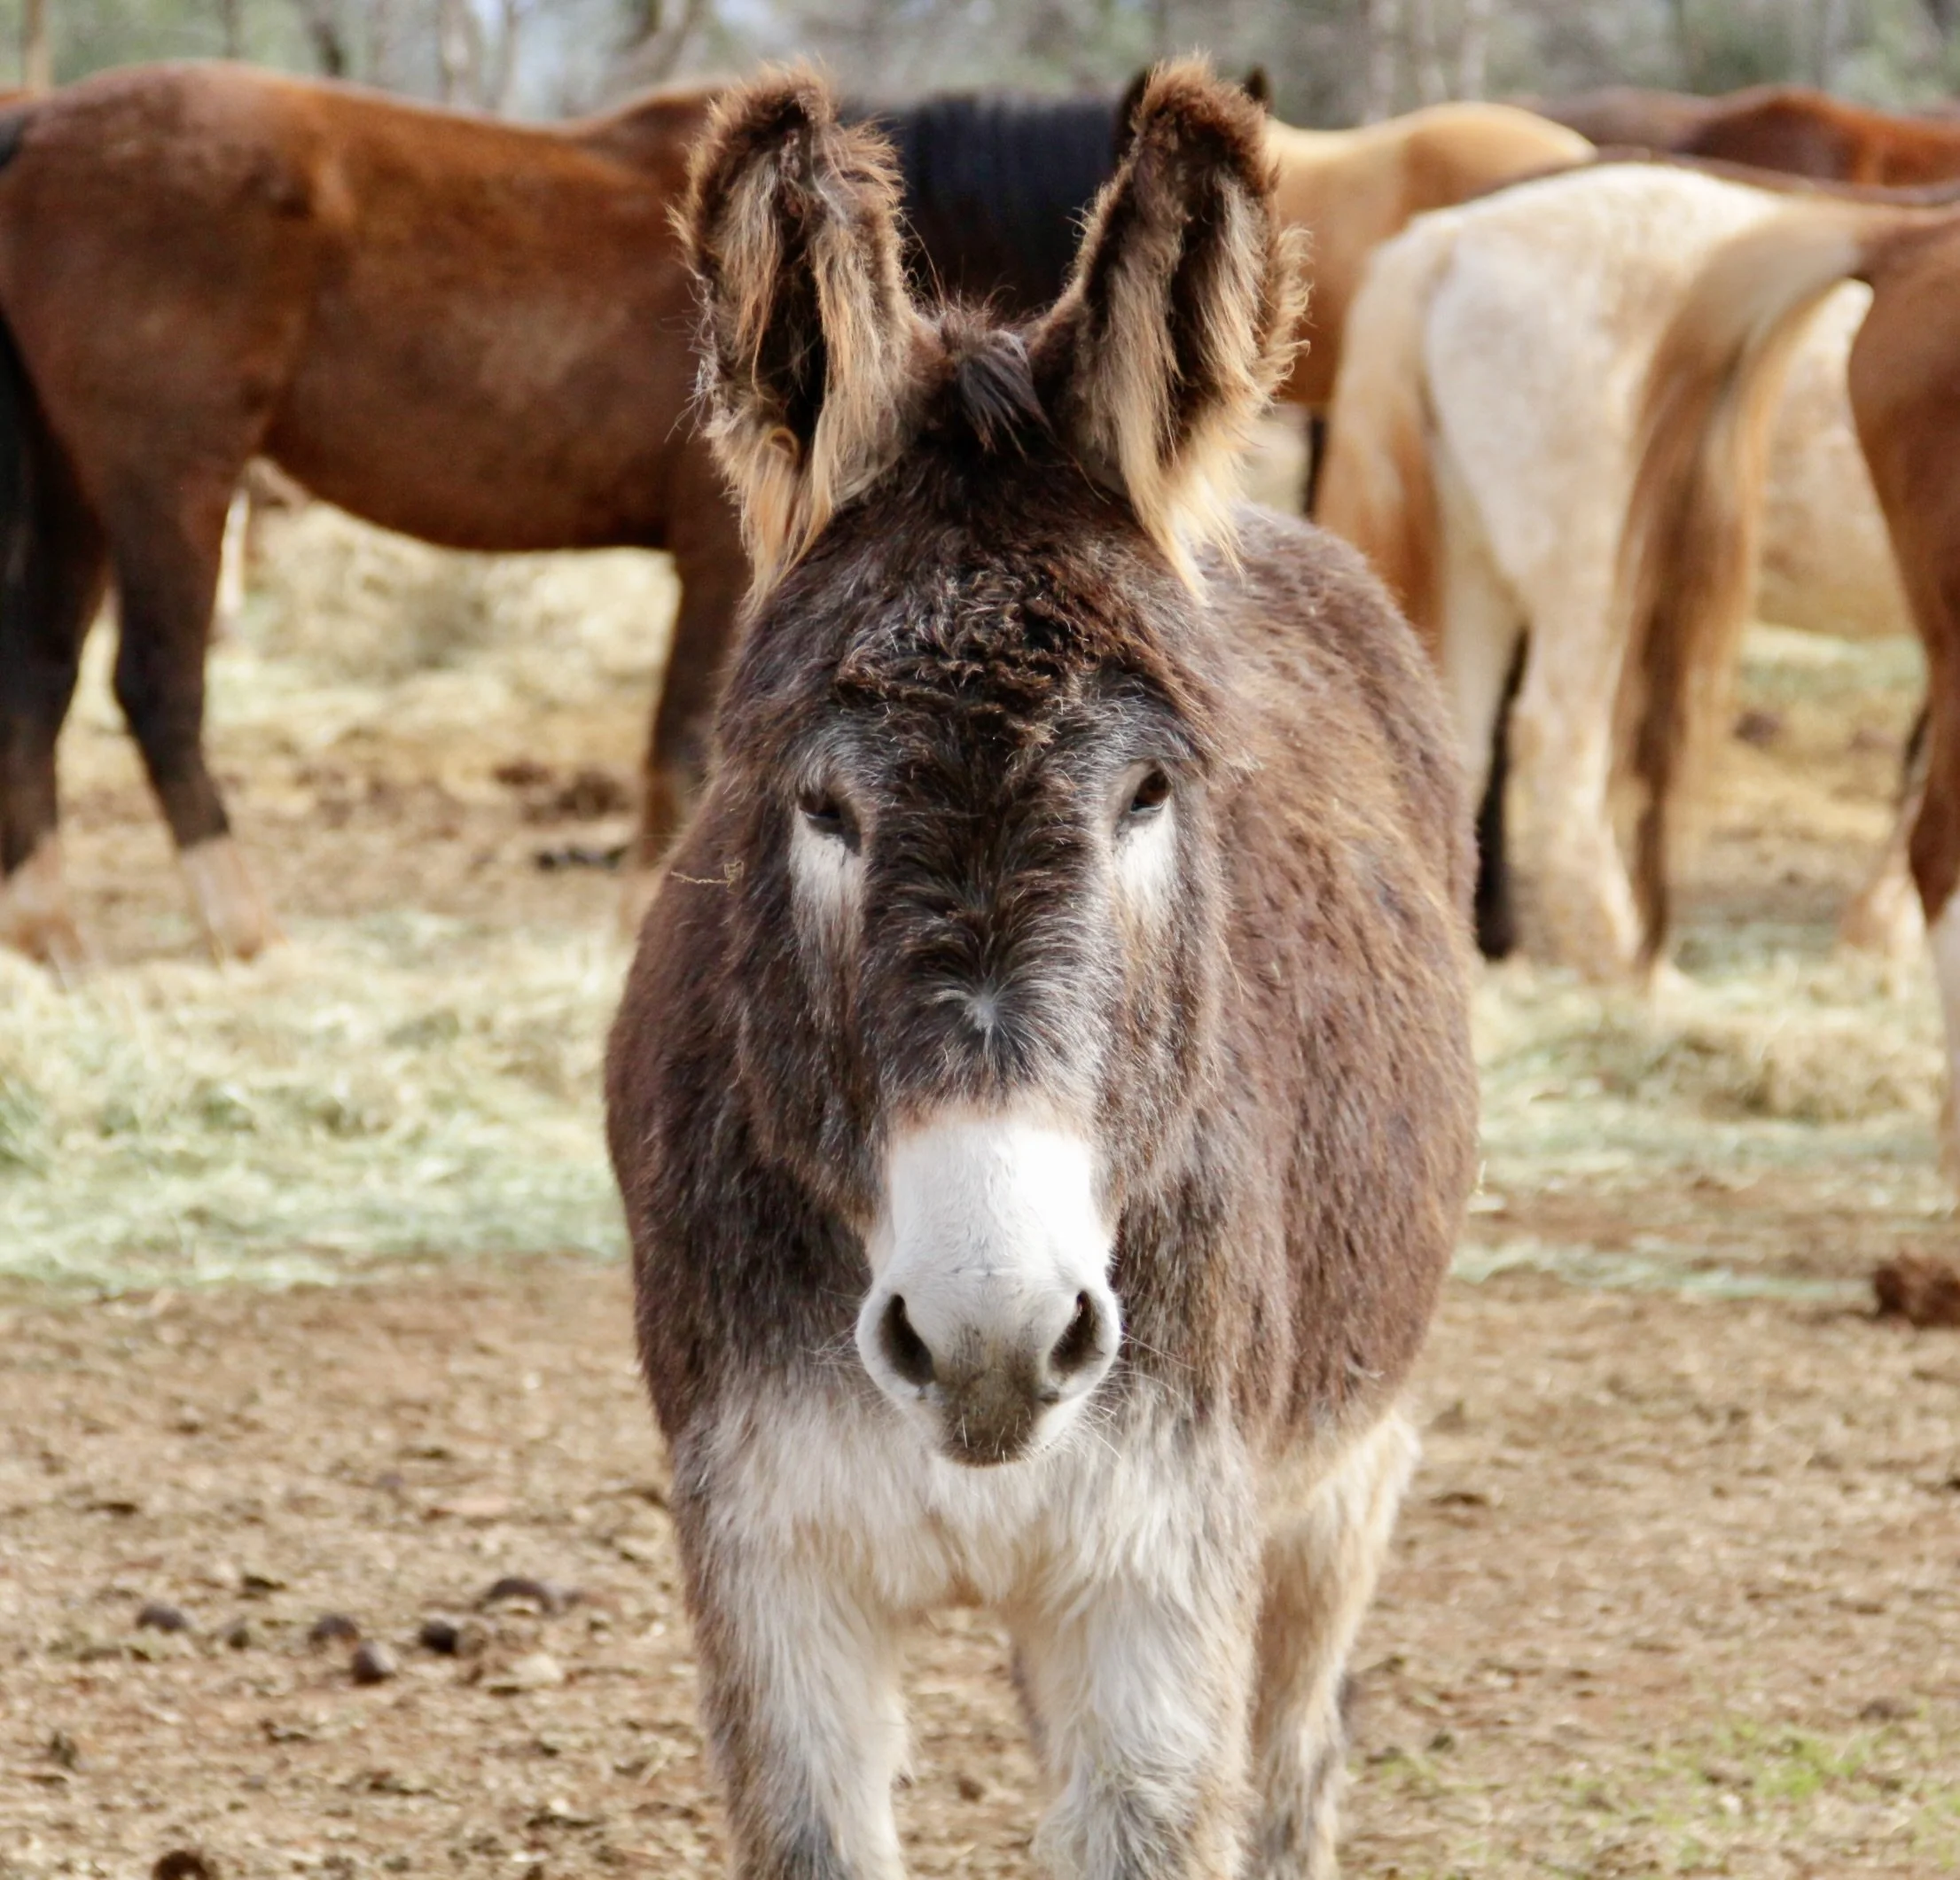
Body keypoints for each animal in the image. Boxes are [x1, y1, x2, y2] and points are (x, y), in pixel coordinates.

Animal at [605, 62, 1477, 1880]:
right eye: (817, 803)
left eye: (1148, 793)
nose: (990, 1333)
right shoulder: (764, 1567)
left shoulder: (1161, 1582)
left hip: (1341, 1476)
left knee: (1296, 1760)